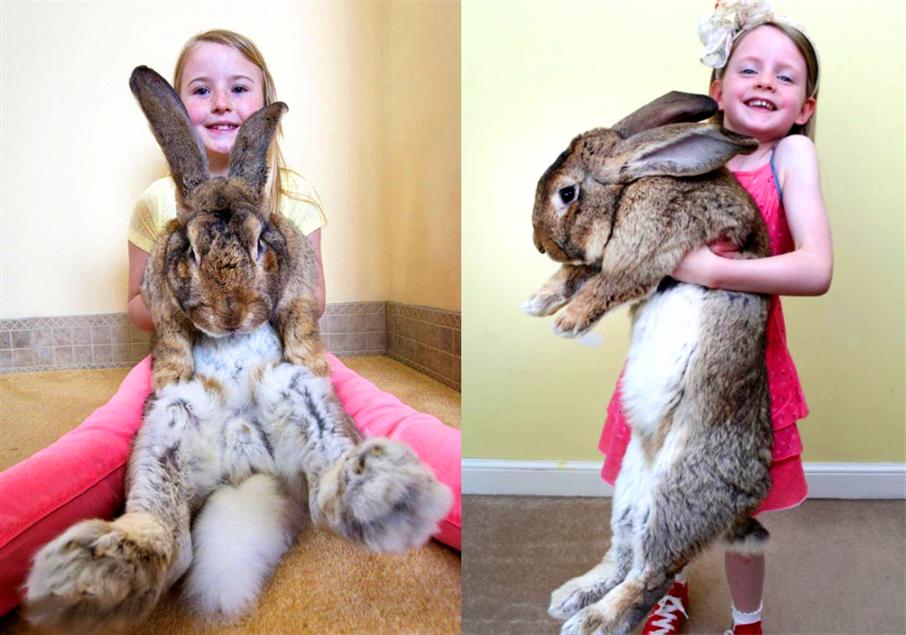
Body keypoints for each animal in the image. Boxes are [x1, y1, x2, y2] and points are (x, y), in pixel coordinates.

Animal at [23, 66, 452, 632]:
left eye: (260, 242)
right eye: (190, 249)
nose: (230, 314)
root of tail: (244, 461)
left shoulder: (298, 297)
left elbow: (300, 328)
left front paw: (309, 352)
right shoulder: (163, 308)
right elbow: (172, 336)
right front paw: (173, 364)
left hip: (299, 400)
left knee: (325, 494)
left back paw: (383, 491)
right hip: (168, 431)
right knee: (170, 539)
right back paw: (93, 570)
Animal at [524, 91, 774, 635]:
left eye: (567, 193)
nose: (540, 246)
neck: (632, 186)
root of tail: (749, 493)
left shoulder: (644, 250)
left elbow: (602, 283)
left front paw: (566, 321)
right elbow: (577, 273)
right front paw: (539, 300)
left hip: (678, 498)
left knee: (650, 576)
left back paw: (591, 620)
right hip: (630, 493)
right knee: (626, 556)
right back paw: (570, 598)